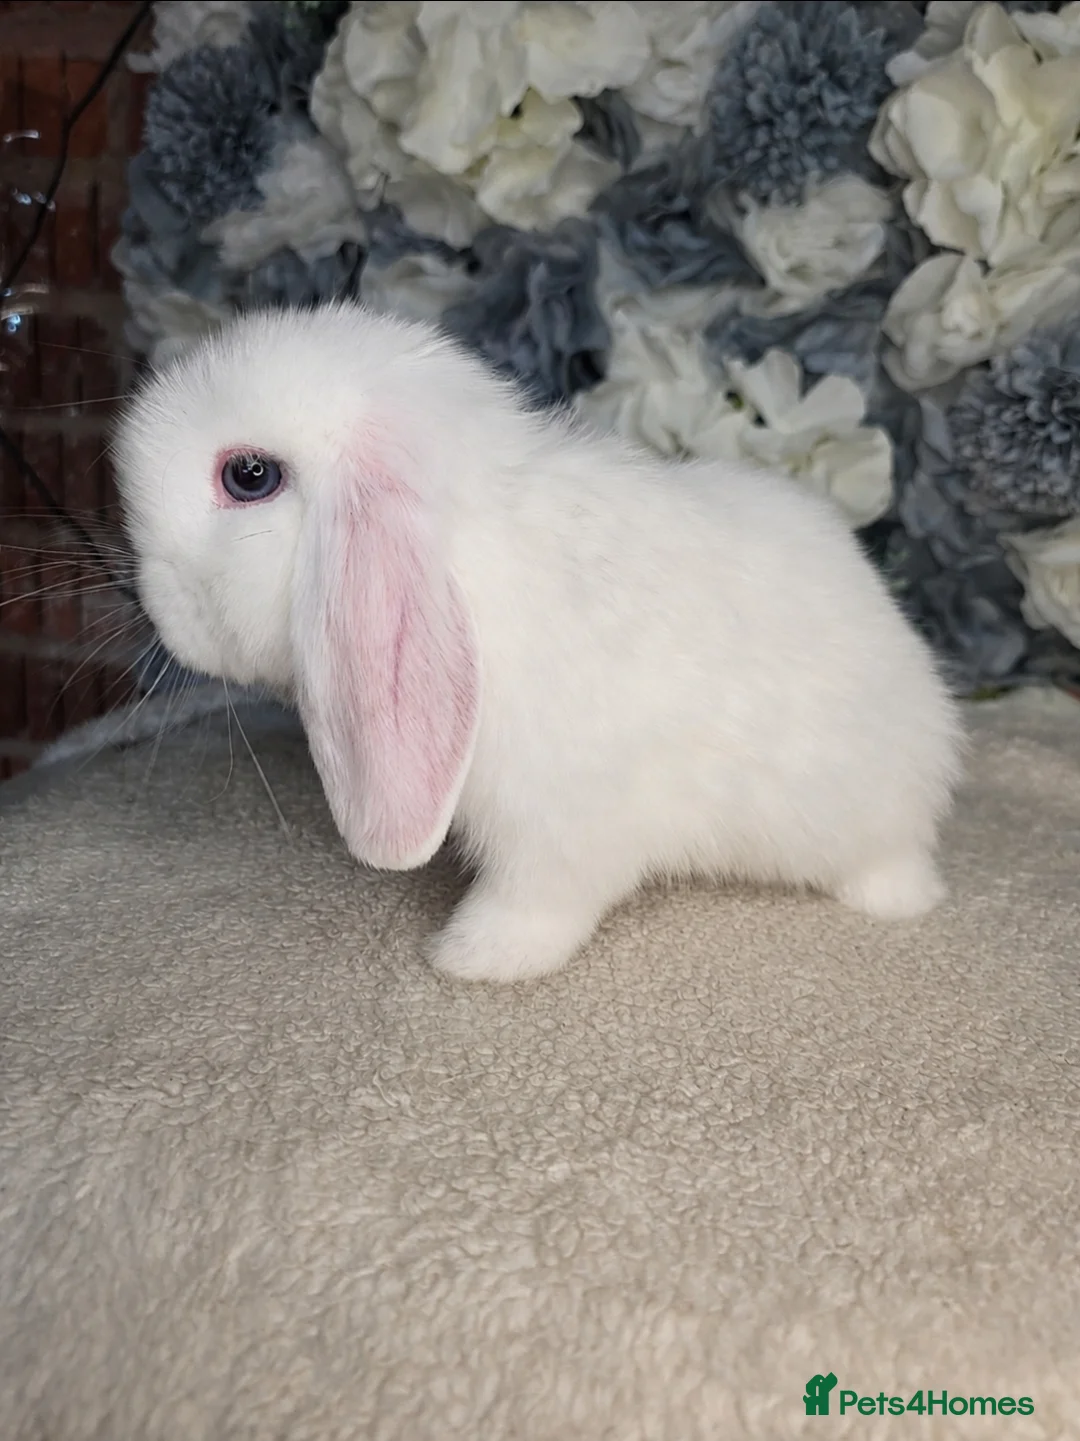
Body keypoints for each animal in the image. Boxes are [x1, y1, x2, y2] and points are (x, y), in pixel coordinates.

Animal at [112, 301, 962, 984]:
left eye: (249, 475)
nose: (152, 602)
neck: (460, 555)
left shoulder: (560, 824)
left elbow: (540, 900)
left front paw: (471, 957)